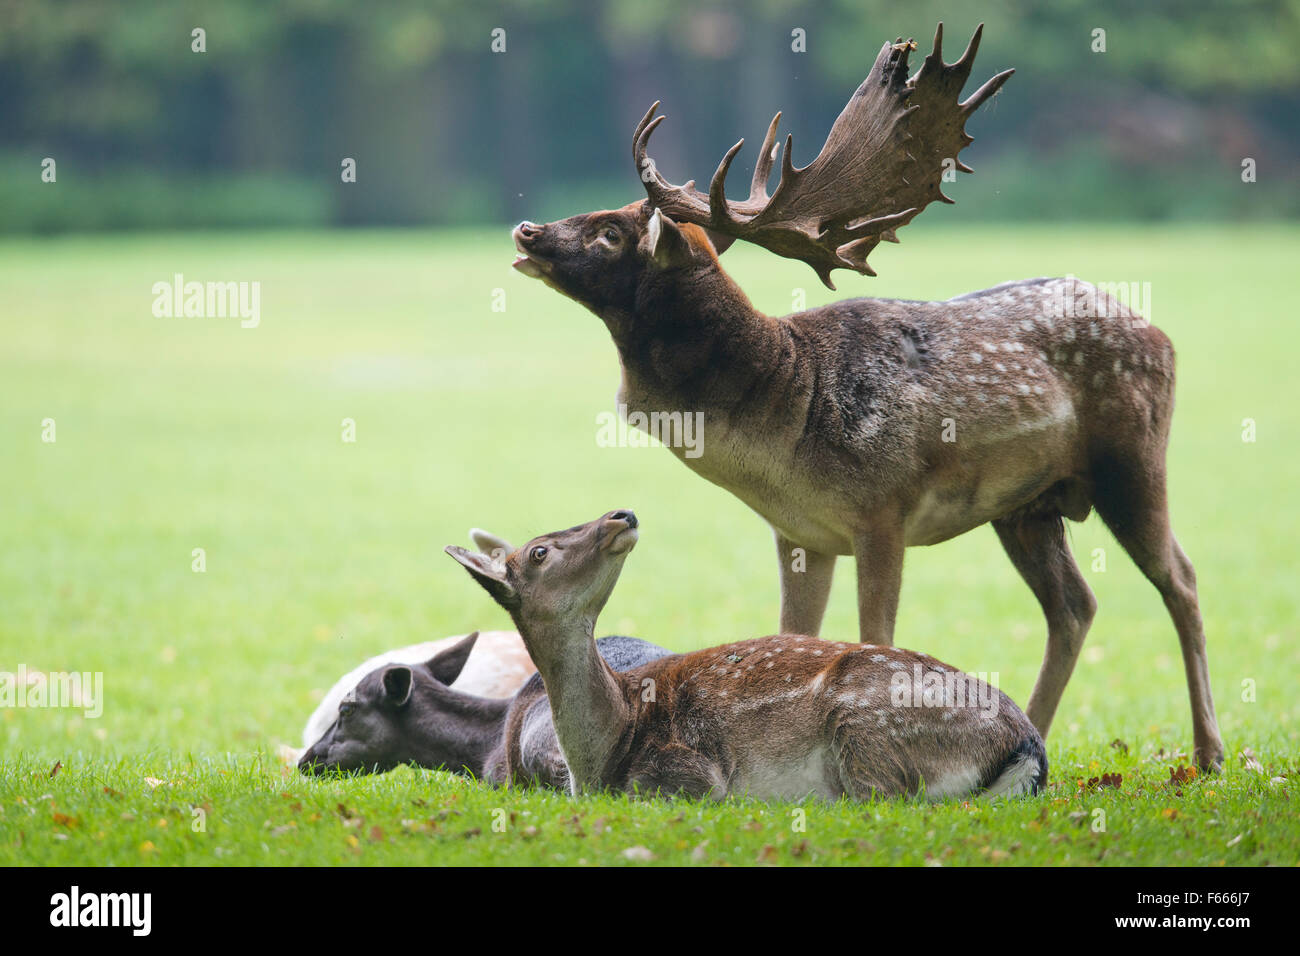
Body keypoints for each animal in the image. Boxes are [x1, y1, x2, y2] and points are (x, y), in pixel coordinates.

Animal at [447, 512, 1045, 806]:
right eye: (540, 551)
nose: (620, 514)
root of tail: (1028, 747)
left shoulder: (689, 771)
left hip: (868, 726)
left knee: (882, 797)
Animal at [509, 24, 1227, 770]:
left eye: (611, 232)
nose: (528, 229)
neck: (786, 410)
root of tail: (1161, 334)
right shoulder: (800, 533)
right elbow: (790, 635)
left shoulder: (884, 507)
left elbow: (876, 636)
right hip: (1027, 506)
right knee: (1075, 606)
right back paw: (1034, 730)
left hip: (1132, 457)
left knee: (1181, 579)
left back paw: (1212, 752)